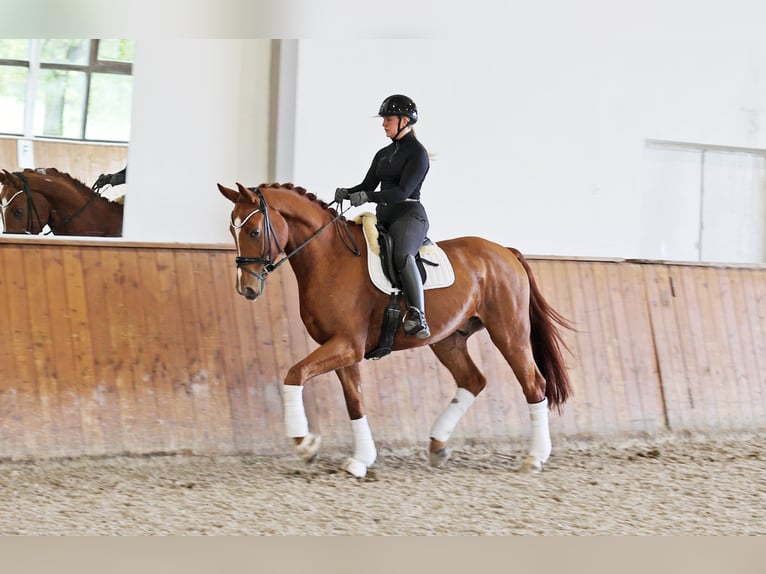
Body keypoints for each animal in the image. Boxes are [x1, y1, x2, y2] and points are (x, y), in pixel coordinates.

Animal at [219, 182, 572, 480]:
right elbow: (354, 401)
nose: (246, 289)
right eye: (232, 230)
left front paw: (305, 445)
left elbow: (294, 374)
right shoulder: (343, 348)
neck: (330, 258)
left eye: (253, 230)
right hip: (448, 340)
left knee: (533, 383)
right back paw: (438, 446)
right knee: (473, 380)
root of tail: (505, 251)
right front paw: (360, 460)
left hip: (508, 331)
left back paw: (534, 457)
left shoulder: (346, 345)